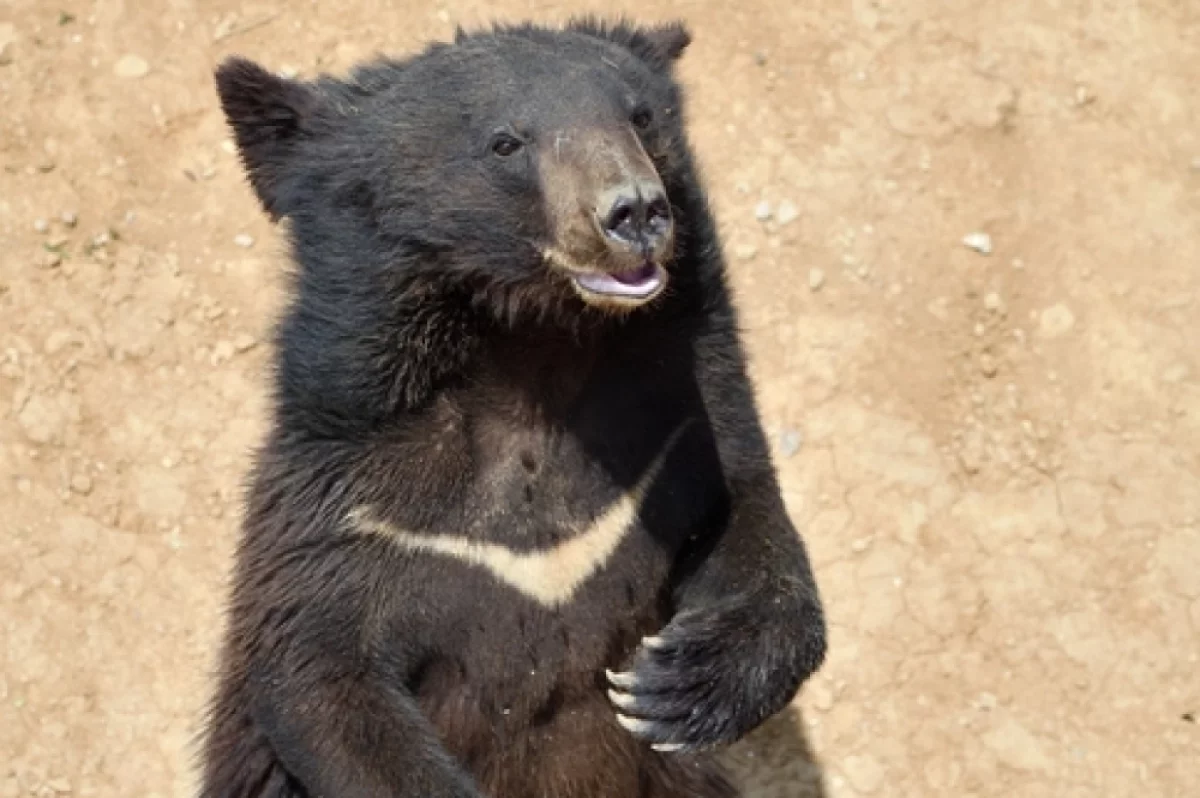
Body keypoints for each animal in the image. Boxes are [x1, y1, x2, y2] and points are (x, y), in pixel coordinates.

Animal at [198, 17, 826, 798]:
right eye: (506, 142)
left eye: (641, 117)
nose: (635, 210)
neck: (532, 359)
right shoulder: (356, 512)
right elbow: (318, 677)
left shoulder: (682, 421)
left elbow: (746, 516)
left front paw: (672, 687)